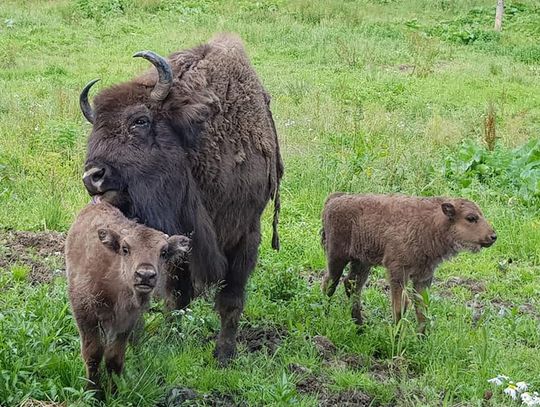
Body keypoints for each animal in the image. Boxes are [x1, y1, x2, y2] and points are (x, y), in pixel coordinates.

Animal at [65, 204, 190, 396]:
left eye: (163, 252)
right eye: (125, 248)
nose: (145, 275)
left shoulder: (127, 322)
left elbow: (114, 358)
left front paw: (113, 392)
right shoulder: (85, 315)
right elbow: (93, 354)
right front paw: (93, 393)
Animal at [79, 34, 284, 364]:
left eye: (140, 121)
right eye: (95, 128)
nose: (93, 176)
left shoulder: (246, 234)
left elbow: (231, 299)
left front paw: (224, 355)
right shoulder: (178, 242)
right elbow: (177, 296)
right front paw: (169, 339)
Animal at [320, 193, 498, 334]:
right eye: (471, 218)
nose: (493, 236)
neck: (432, 223)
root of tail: (333, 200)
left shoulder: (424, 277)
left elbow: (422, 308)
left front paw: (422, 338)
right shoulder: (398, 273)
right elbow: (400, 307)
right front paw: (397, 336)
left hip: (362, 263)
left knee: (351, 285)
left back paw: (360, 326)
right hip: (337, 256)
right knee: (330, 283)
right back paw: (325, 314)